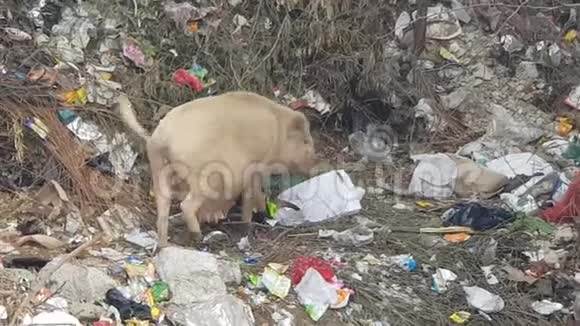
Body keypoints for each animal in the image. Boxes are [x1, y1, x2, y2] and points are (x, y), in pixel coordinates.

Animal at [116, 90, 320, 246]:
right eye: (305, 141)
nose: (316, 164)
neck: (279, 135)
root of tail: (161, 138)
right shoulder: (256, 166)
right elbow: (254, 194)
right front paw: (254, 221)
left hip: (158, 168)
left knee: (163, 205)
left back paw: (164, 245)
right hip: (201, 178)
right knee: (186, 205)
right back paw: (198, 237)